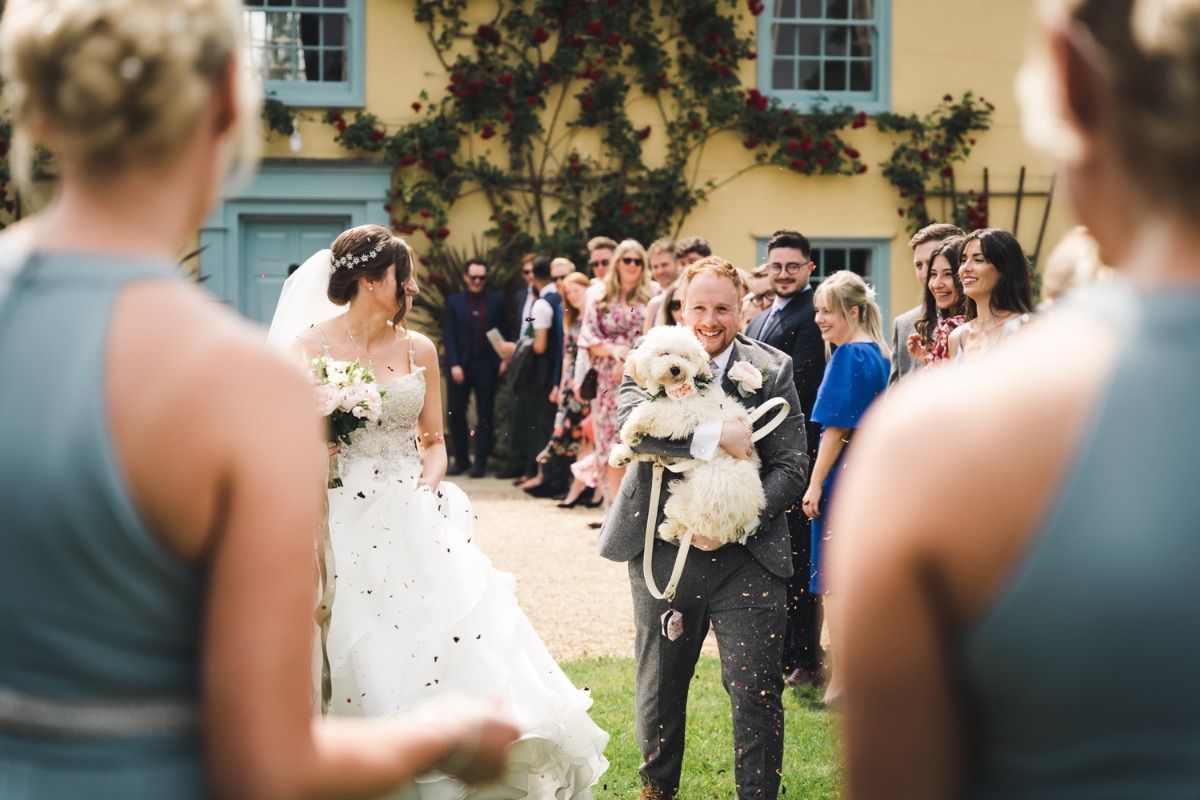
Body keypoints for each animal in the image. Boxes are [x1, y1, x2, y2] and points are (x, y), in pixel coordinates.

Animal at [609, 326, 768, 544]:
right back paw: (671, 527)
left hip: (717, 476)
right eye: (664, 354)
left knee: (704, 521)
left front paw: (630, 428)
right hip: (691, 488)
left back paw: (674, 510)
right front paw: (622, 454)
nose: (676, 368)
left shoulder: (685, 414)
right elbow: (650, 448)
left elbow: (652, 411)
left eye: (685, 357)